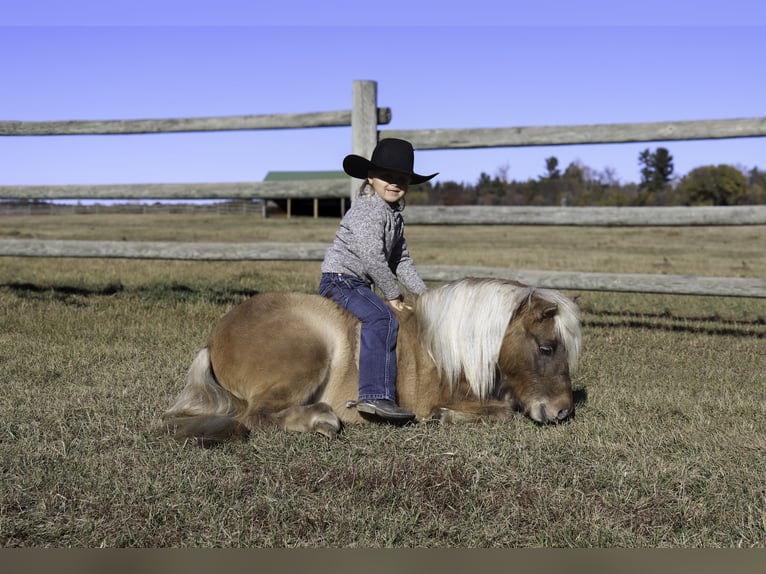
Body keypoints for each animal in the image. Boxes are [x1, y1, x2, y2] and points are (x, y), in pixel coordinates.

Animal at [162, 276, 584, 444]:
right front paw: (446, 416)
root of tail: (215, 336)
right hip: (307, 355)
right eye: (547, 347)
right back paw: (319, 419)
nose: (563, 412)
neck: (444, 346)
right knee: (257, 416)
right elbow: (502, 411)